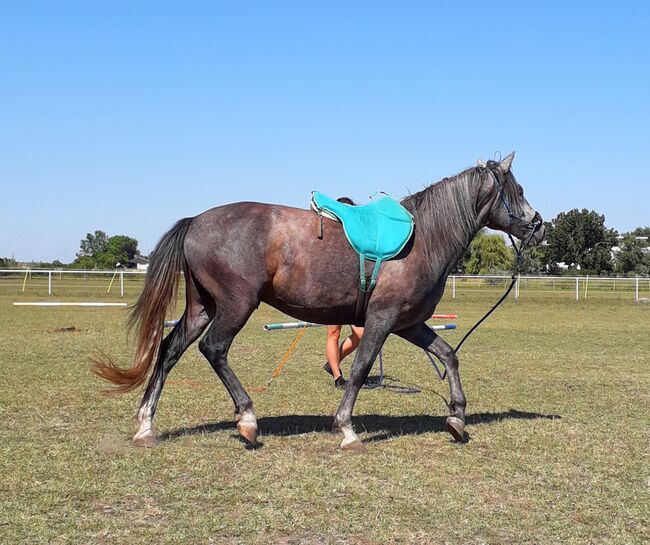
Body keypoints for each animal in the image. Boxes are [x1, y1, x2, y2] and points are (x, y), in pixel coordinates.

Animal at [95, 151, 540, 448]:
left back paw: (146, 425)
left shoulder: (408, 323)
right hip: (235, 307)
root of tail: (195, 222)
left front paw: (457, 417)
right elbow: (360, 370)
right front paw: (346, 429)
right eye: (517, 190)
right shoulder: (381, 321)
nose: (538, 224)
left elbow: (448, 355)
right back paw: (248, 420)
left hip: (202, 307)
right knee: (213, 349)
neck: (425, 237)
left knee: (170, 350)